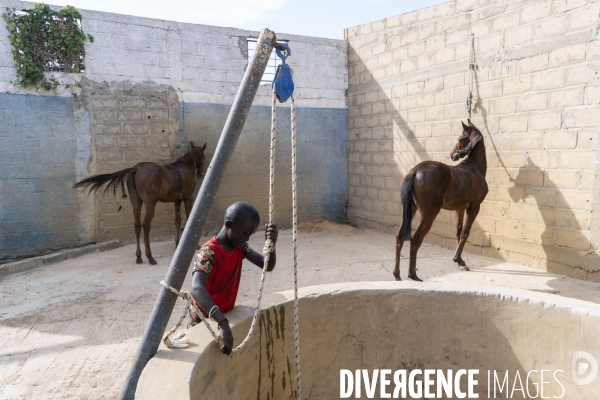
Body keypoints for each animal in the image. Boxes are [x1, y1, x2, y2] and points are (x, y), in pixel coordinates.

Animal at [73, 142, 206, 264]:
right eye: (203, 158)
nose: (202, 173)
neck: (186, 166)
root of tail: (136, 168)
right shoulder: (188, 198)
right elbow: (189, 218)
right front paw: (195, 245)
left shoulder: (177, 200)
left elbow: (177, 220)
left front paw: (178, 243)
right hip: (150, 203)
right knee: (146, 225)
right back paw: (150, 256)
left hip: (136, 203)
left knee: (137, 225)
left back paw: (139, 256)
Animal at [394, 120, 488, 280]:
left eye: (460, 138)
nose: (453, 155)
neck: (474, 168)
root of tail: (415, 171)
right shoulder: (474, 207)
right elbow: (465, 233)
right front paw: (458, 259)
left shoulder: (460, 209)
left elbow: (458, 232)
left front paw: (459, 260)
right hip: (429, 215)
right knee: (415, 239)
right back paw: (413, 275)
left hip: (411, 210)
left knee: (399, 237)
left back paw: (397, 274)